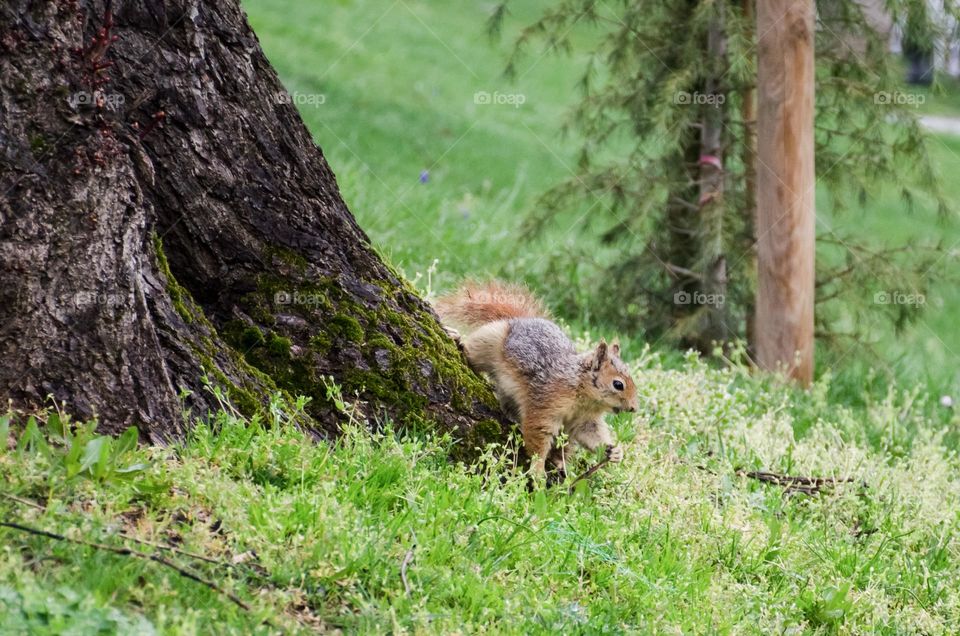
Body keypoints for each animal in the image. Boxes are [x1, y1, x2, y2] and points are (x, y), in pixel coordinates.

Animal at [436, 280, 636, 474]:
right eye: (618, 384)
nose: (634, 408)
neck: (581, 392)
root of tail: (520, 320)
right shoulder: (546, 401)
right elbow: (538, 433)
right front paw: (537, 470)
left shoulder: (585, 419)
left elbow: (591, 434)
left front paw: (614, 451)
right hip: (488, 342)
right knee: (472, 351)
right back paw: (457, 337)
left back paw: (559, 462)